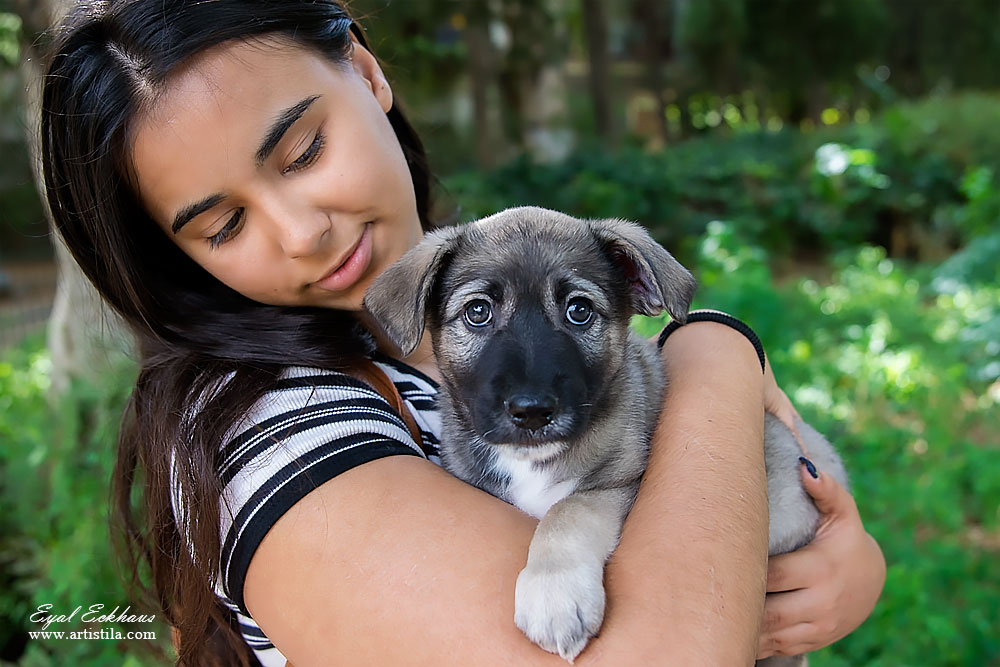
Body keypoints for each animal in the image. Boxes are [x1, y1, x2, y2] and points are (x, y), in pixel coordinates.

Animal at [364, 206, 848, 664]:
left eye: (579, 311)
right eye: (477, 312)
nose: (532, 411)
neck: (530, 460)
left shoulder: (621, 483)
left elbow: (567, 510)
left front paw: (554, 596)